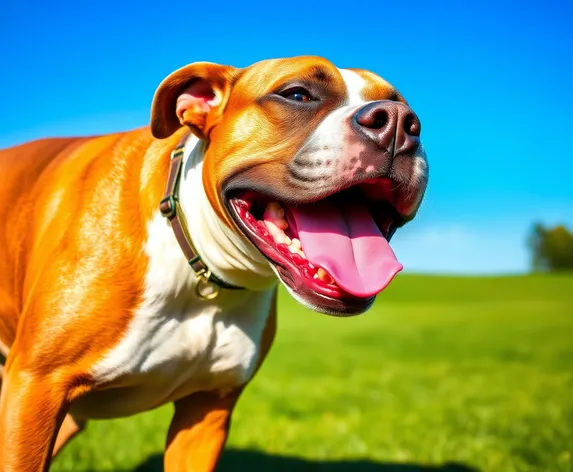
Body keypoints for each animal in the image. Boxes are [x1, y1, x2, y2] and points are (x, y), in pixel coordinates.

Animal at [0, 57, 424, 470]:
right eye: (297, 94)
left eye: (404, 107)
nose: (398, 122)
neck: (203, 270)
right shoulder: (34, 390)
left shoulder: (205, 415)